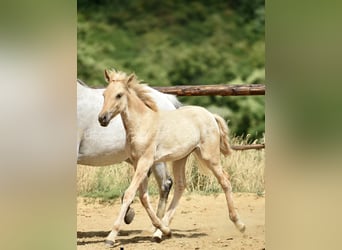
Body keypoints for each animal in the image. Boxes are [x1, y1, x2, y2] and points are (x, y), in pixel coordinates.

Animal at [97, 70, 244, 246]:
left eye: (119, 95)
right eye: (104, 94)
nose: (102, 118)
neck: (142, 124)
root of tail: (210, 115)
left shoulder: (145, 162)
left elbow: (130, 194)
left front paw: (110, 237)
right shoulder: (137, 163)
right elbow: (143, 197)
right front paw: (164, 230)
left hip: (210, 156)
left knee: (225, 181)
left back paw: (239, 224)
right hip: (181, 158)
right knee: (181, 186)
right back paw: (160, 233)